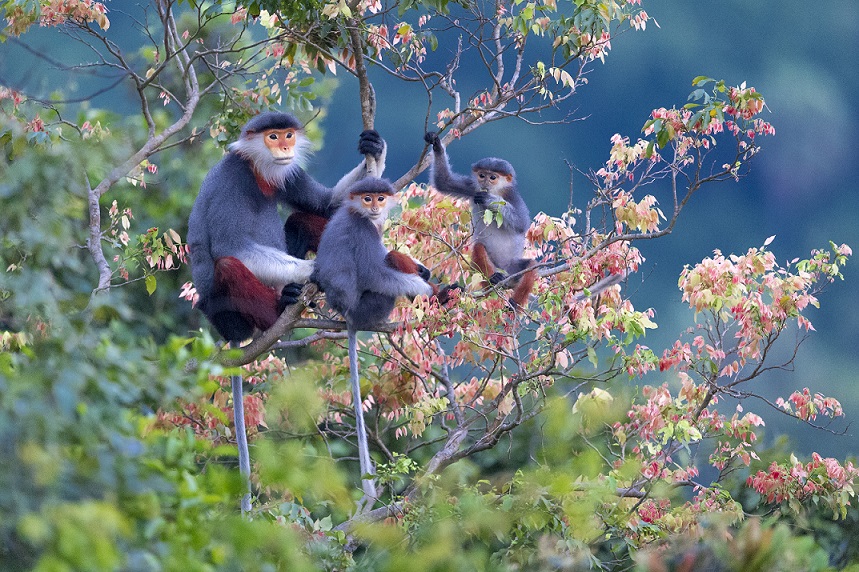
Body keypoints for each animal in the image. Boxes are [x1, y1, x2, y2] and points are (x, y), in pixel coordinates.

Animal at [312, 178, 436, 500]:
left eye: (380, 198)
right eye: (367, 198)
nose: (375, 207)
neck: (357, 212)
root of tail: (348, 316)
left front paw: (423, 270)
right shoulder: (363, 230)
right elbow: (375, 274)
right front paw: (427, 290)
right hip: (369, 307)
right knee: (385, 268)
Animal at [424, 131, 536, 308]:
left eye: (493, 177)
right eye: (482, 175)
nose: (485, 182)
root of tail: (504, 271)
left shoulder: (513, 197)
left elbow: (522, 224)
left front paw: (490, 199)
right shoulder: (472, 187)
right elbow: (443, 181)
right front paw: (436, 143)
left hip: (513, 268)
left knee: (531, 265)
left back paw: (514, 305)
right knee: (478, 247)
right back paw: (493, 280)